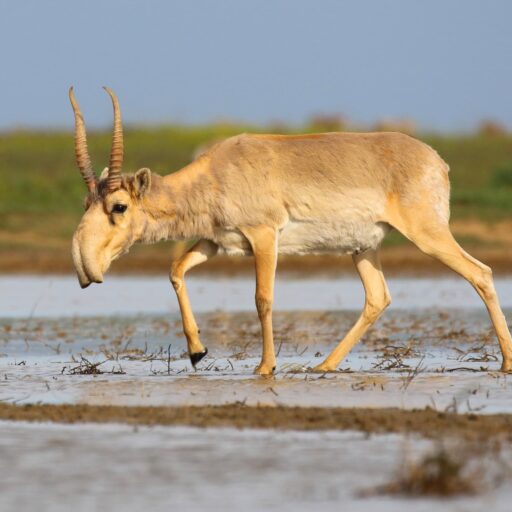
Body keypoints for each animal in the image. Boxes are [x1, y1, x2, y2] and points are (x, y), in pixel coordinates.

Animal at [69, 88, 512, 376]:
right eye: (86, 202)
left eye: (119, 206)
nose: (83, 266)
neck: (216, 173)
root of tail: (437, 161)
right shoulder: (216, 242)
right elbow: (176, 270)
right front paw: (197, 352)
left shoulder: (264, 236)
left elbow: (262, 298)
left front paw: (265, 367)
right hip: (363, 248)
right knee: (378, 297)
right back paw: (324, 365)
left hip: (428, 235)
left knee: (481, 273)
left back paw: (506, 361)